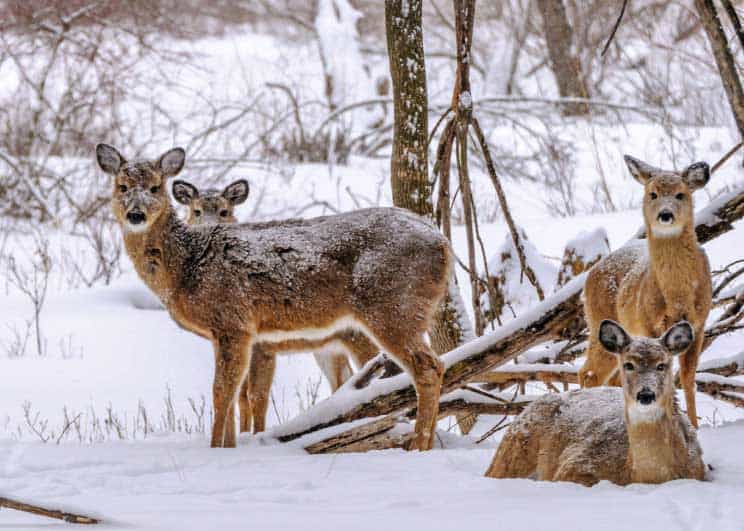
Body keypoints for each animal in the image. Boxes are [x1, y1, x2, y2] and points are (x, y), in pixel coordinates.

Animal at [171, 178, 378, 433]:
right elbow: (241, 397)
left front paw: (256, 434)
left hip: (360, 337)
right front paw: (242, 434)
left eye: (224, 211)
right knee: (344, 380)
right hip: (327, 347)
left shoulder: (263, 347)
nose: (208, 228)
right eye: (196, 211)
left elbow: (256, 397)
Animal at [578, 156, 712, 427]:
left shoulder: (700, 324)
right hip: (600, 320)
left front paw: (694, 425)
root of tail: (591, 274)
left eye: (681, 194)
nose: (665, 214)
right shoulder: (647, 324)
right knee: (589, 373)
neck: (678, 296)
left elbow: (688, 379)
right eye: (653, 194)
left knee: (607, 377)